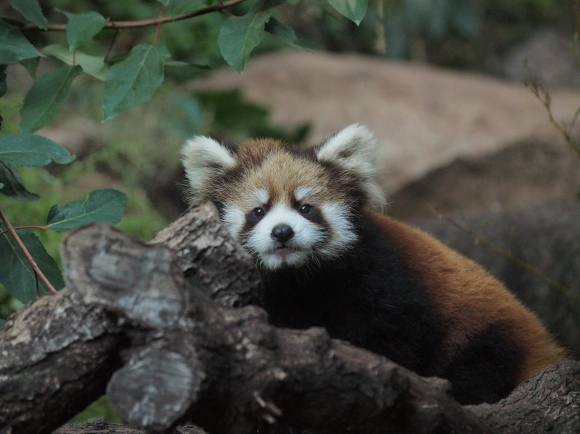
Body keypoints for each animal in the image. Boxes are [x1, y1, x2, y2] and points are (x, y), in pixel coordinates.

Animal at [181, 124, 568, 406]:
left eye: (305, 207)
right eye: (258, 212)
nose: (282, 232)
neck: (299, 278)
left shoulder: (384, 283)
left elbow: (394, 342)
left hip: (484, 329)